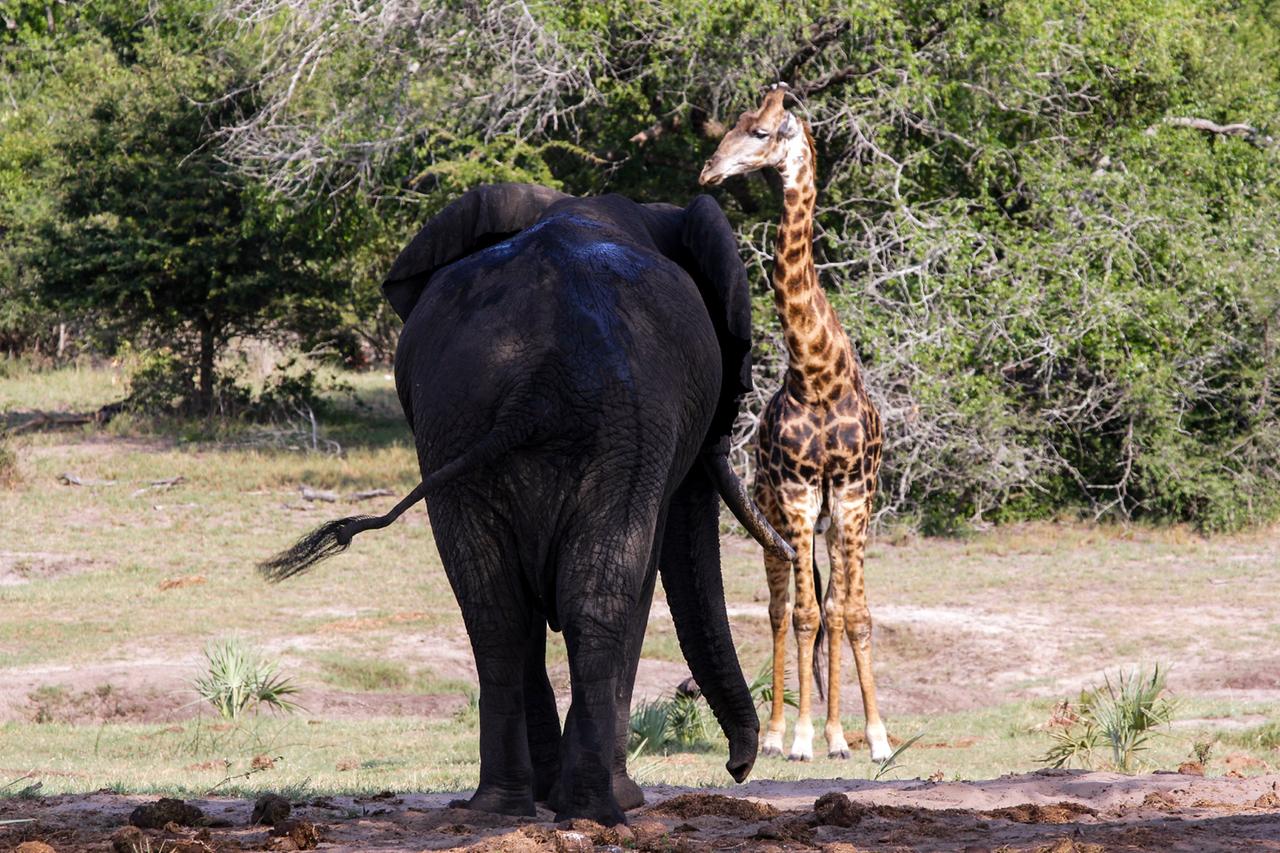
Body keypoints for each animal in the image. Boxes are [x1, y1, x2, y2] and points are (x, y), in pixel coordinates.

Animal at [259, 183, 796, 825]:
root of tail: (538, 381)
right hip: (614, 429)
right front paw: (607, 798)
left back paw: (504, 808)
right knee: (597, 592)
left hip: (462, 423)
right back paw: (599, 808)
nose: (738, 768)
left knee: (494, 606)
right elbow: (646, 573)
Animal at [699, 84, 890, 763]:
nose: (709, 170)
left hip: (838, 519)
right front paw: (804, 737)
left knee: (836, 605)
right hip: (773, 518)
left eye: (759, 132)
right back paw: (782, 732)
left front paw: (871, 737)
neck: (818, 373)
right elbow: (806, 616)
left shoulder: (852, 495)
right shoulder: (800, 493)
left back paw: (838, 733)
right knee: (784, 610)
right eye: (732, 125)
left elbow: (849, 613)